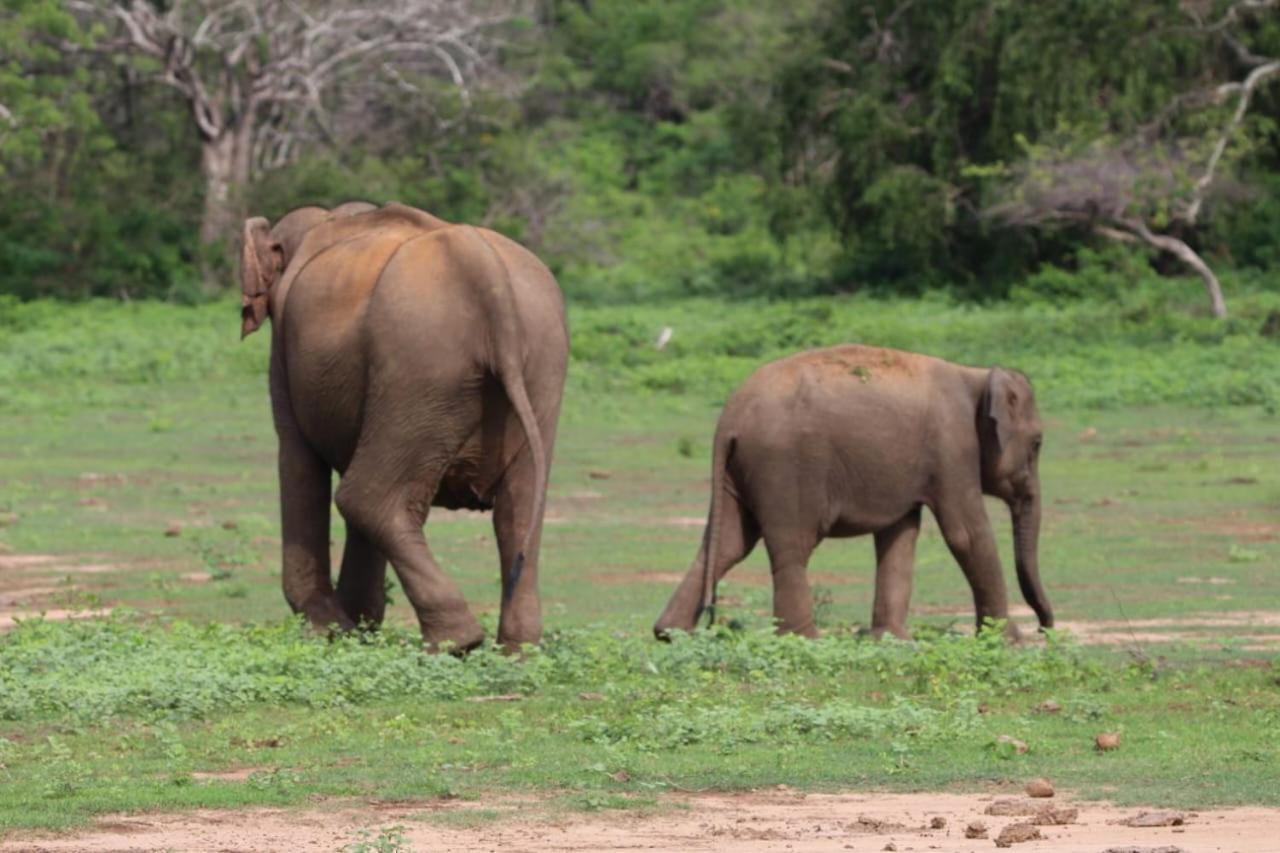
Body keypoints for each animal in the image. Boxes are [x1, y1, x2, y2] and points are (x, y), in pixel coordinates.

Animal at [239, 199, 565, 650]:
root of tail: (482, 269)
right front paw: (359, 628)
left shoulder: (285, 353)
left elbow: (298, 460)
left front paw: (334, 632)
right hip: (534, 367)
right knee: (519, 508)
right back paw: (515, 651)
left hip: (418, 365)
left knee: (366, 498)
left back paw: (455, 643)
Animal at [655, 343, 1054, 637]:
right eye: (1037, 444)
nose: (1043, 629)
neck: (977, 375)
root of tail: (729, 420)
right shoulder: (952, 449)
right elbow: (967, 536)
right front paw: (1008, 642)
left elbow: (900, 536)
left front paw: (892, 639)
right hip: (785, 467)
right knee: (792, 546)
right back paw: (805, 639)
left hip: (740, 471)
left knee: (728, 544)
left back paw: (670, 634)